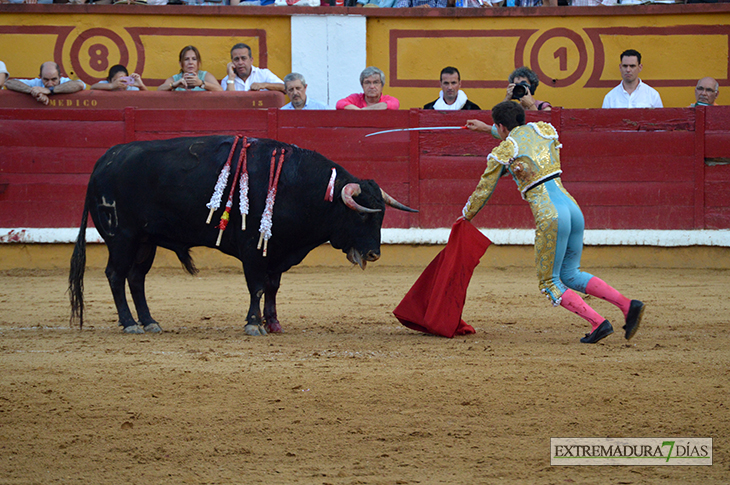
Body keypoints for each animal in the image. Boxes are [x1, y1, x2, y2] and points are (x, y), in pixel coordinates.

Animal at [69, 134, 416, 334]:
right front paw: (253, 324)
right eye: (361, 215)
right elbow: (257, 287)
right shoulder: (253, 248)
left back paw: (150, 322)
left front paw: (273, 323)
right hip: (122, 237)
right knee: (116, 275)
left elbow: (273, 287)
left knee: (136, 277)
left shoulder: (276, 249)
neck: (299, 186)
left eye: (381, 215)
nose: (373, 253)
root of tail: (104, 160)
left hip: (145, 241)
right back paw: (130, 324)